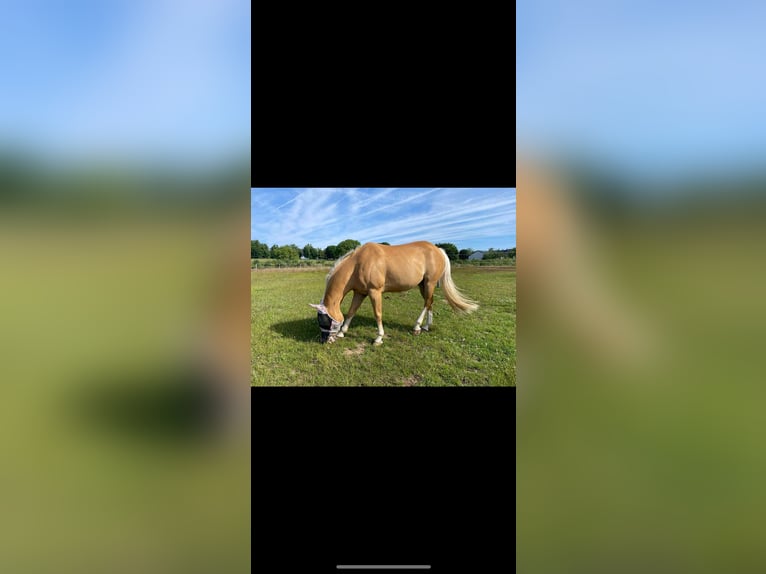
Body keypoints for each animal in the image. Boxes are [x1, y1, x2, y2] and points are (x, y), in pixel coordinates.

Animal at [309, 241, 478, 345]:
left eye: (324, 320)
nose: (324, 341)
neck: (358, 263)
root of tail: (438, 250)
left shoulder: (374, 292)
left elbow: (377, 314)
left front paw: (378, 338)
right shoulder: (360, 293)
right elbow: (351, 312)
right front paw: (342, 332)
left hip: (430, 283)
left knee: (426, 303)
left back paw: (417, 327)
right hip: (423, 285)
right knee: (430, 302)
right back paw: (425, 327)